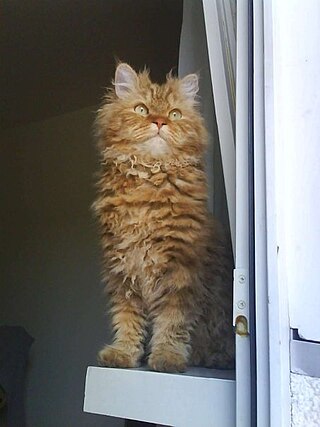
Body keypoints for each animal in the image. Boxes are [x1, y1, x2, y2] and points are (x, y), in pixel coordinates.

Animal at [92, 61, 235, 372]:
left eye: (174, 114)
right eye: (142, 109)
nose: (159, 122)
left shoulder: (181, 271)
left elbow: (173, 322)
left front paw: (167, 357)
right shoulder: (122, 269)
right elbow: (127, 318)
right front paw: (124, 353)